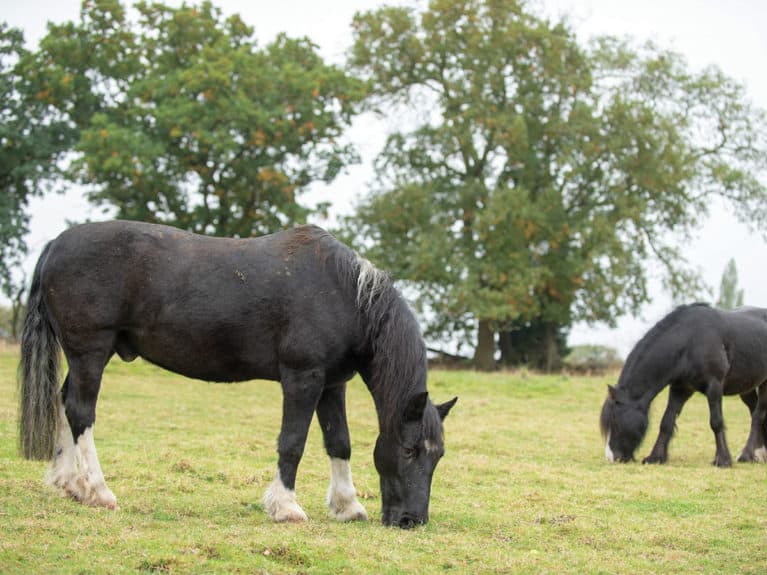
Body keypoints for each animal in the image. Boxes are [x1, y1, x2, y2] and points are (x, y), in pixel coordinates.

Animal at [16, 223, 456, 528]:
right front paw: (286, 507)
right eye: (409, 450)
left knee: (64, 403)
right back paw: (98, 491)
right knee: (81, 413)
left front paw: (347, 506)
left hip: (83, 357)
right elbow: (292, 443)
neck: (346, 294)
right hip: (91, 352)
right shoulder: (303, 378)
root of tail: (56, 244)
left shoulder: (333, 383)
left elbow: (340, 443)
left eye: (438, 455)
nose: (412, 521)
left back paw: (69, 483)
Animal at [604, 304, 767, 466]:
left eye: (615, 421)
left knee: (758, 415)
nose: (611, 457)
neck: (690, 341)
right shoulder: (680, 388)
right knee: (754, 411)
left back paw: (746, 455)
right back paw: (759, 453)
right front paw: (655, 457)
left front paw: (722, 460)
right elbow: (666, 422)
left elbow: (716, 422)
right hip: (747, 387)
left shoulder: (714, 386)